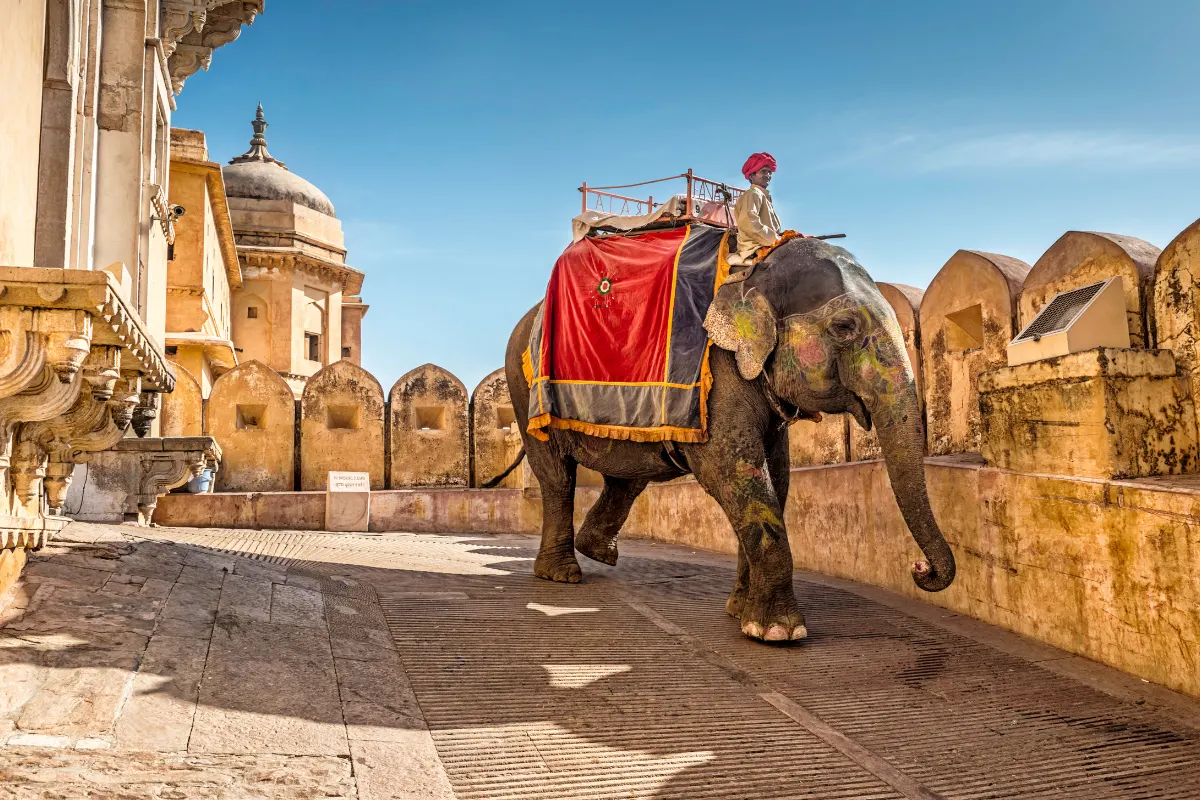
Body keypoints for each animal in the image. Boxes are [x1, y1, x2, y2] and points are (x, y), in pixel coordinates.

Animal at [499, 236, 955, 642]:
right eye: (844, 327)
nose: (919, 569)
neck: (756, 270)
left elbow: (776, 477)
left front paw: (740, 612)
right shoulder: (717, 371)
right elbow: (734, 471)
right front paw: (777, 632)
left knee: (627, 477)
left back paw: (597, 552)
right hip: (525, 390)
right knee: (558, 477)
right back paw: (562, 574)